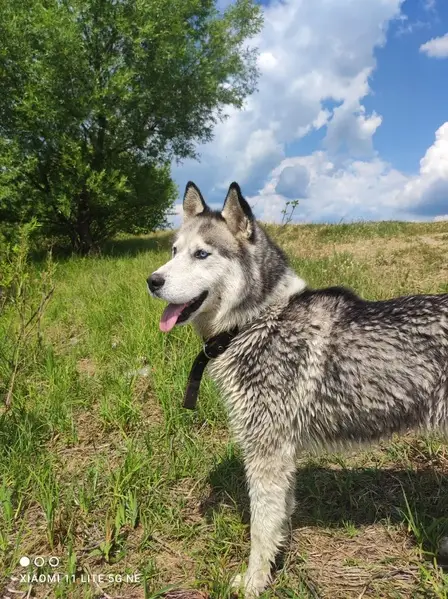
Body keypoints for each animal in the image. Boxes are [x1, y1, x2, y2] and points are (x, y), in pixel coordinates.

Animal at [147, 181, 448, 597]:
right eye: (174, 251)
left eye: (201, 254)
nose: (152, 281)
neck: (256, 321)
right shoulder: (281, 457)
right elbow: (277, 521)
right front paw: (276, 560)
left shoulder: (266, 453)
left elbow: (260, 530)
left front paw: (253, 582)